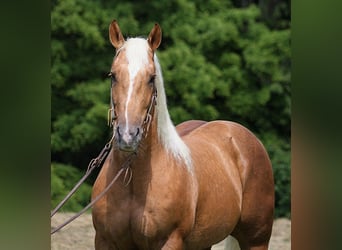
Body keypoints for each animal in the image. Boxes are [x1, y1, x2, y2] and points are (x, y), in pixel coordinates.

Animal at [91, 20, 276, 249]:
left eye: (151, 78)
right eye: (113, 75)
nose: (128, 135)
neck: (132, 176)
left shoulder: (170, 241)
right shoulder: (104, 241)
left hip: (256, 240)